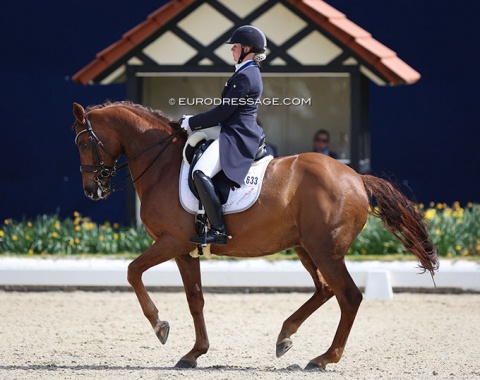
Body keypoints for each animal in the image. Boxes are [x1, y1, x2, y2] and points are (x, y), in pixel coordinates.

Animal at [72, 101, 438, 372]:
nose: (92, 191)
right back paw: (285, 336)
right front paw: (194, 353)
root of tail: (356, 177)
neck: (162, 164)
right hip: (306, 247)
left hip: (325, 251)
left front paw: (160, 326)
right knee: (324, 290)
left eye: (82, 142)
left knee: (348, 296)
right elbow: (195, 299)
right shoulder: (185, 250)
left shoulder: (172, 241)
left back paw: (323, 358)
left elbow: (132, 271)